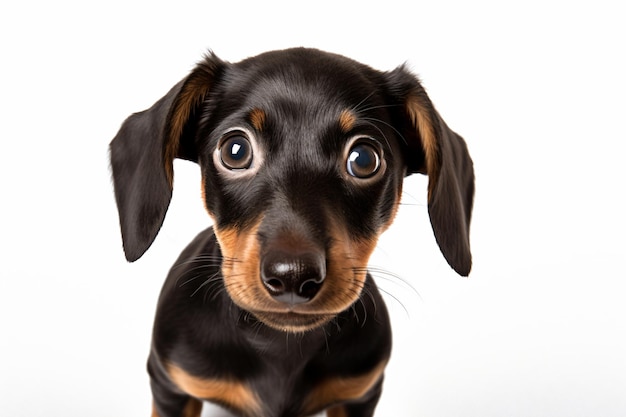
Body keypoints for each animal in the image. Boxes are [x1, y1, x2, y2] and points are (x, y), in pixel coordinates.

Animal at [111, 48, 472, 416]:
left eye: (364, 158)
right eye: (235, 151)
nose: (293, 276)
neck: (279, 344)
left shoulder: (360, 394)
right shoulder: (170, 386)